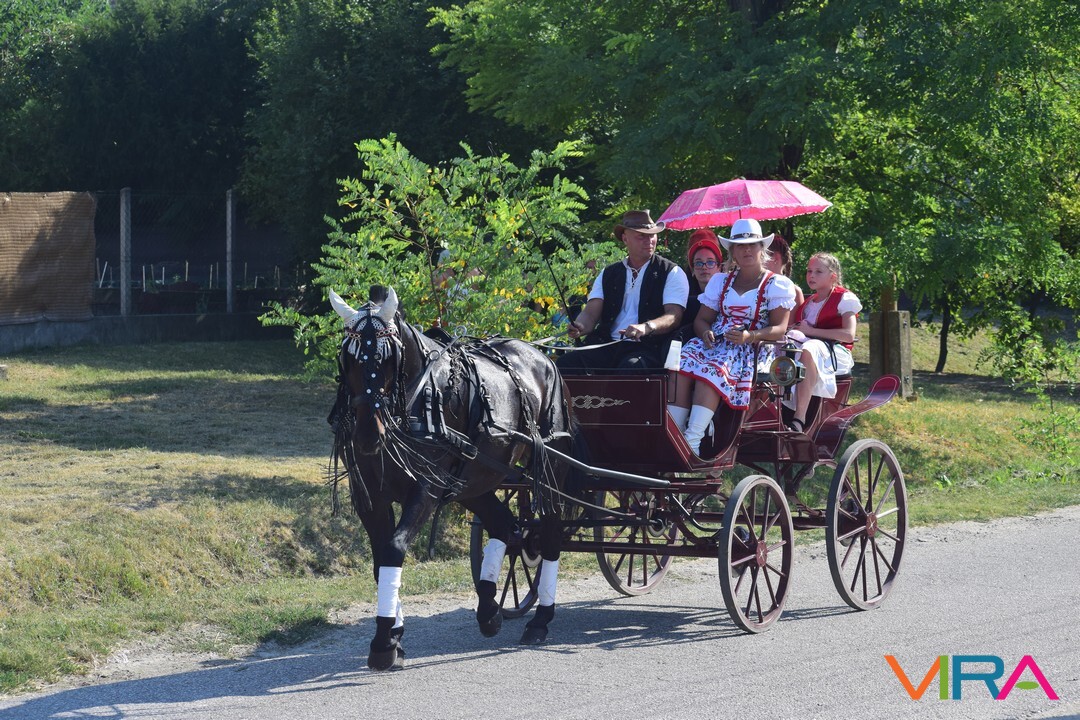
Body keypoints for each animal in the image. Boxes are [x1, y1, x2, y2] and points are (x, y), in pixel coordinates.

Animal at [327, 285, 579, 670]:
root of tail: (544, 358)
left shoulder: (427, 488)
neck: (416, 402)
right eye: (347, 358)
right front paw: (395, 636)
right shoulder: (368, 493)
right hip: (476, 478)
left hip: (548, 468)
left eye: (388, 359)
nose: (369, 434)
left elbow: (394, 549)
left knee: (549, 535)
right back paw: (489, 610)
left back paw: (539, 620)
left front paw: (384, 642)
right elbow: (380, 560)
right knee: (505, 525)